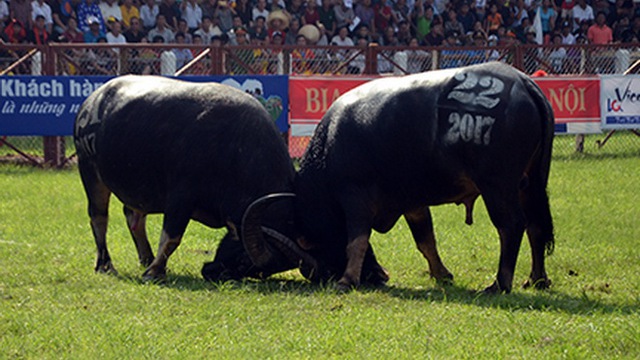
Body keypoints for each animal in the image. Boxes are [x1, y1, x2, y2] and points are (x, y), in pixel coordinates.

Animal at [74, 75, 298, 278]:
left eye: (258, 273)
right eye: (244, 260)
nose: (212, 272)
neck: (234, 148)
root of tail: (92, 100)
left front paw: (153, 267)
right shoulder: (180, 198)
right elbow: (172, 237)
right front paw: (154, 272)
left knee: (133, 217)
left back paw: (146, 258)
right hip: (89, 172)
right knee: (98, 217)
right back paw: (105, 265)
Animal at [242, 62, 552, 292]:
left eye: (312, 244)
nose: (317, 274)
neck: (329, 147)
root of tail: (522, 82)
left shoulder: (354, 196)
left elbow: (357, 238)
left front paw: (347, 280)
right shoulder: (412, 202)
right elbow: (425, 239)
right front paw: (441, 274)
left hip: (497, 186)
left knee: (511, 225)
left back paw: (499, 284)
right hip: (530, 183)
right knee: (535, 225)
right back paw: (536, 279)